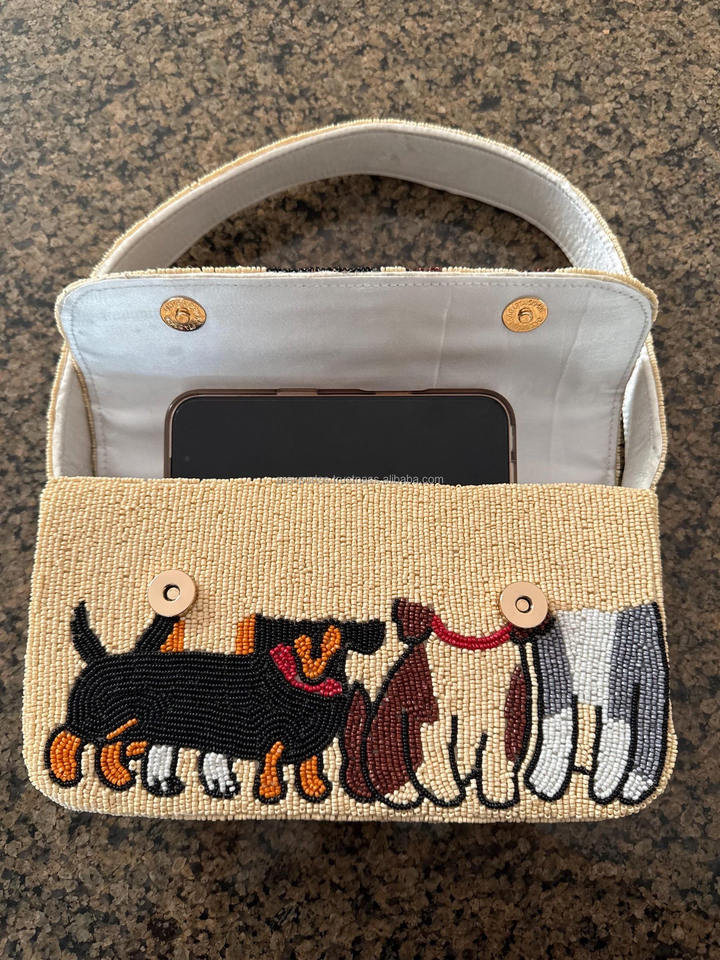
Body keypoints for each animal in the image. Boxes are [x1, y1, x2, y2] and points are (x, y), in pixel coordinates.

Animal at [46, 601, 384, 803]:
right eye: (292, 648)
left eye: (336, 646)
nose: (312, 672)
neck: (302, 691)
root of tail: (98, 659)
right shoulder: (270, 738)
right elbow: (271, 764)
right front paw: (270, 792)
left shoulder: (311, 743)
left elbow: (309, 765)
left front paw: (316, 789)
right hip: (104, 720)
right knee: (68, 737)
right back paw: (66, 773)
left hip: (132, 728)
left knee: (110, 749)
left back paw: (124, 778)